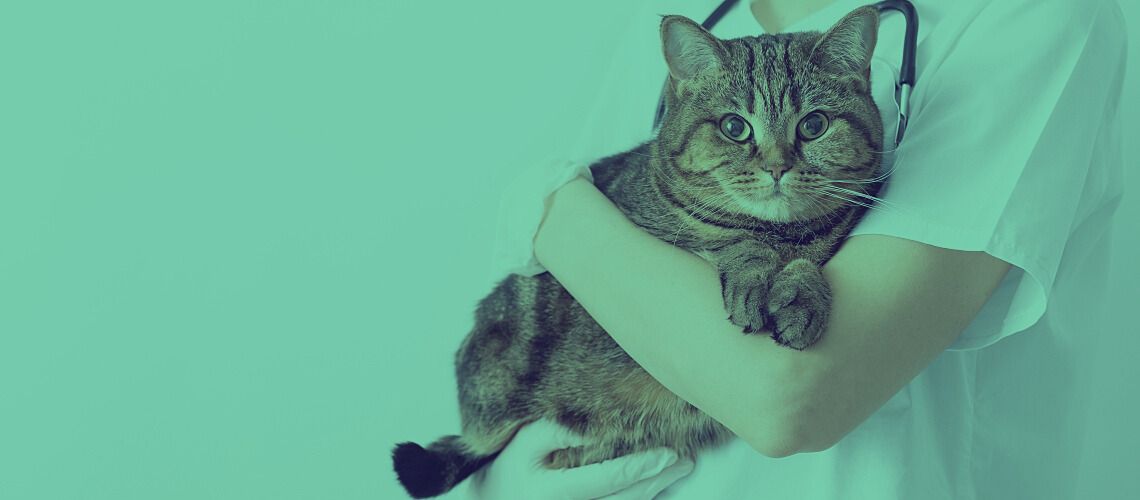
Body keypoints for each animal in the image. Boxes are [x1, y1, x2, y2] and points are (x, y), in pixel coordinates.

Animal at [396, 5, 884, 498]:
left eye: (814, 125)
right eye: (734, 127)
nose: (777, 167)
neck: (783, 232)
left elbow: (805, 263)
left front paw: (801, 294)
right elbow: (735, 244)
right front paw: (756, 273)